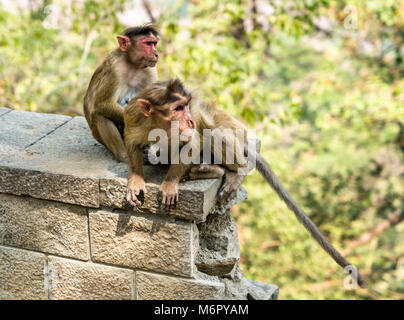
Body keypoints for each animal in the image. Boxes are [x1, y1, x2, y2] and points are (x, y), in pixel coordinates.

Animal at [83, 23, 159, 161]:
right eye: (148, 43)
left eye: (154, 43)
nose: (156, 54)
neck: (133, 65)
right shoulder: (115, 69)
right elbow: (102, 104)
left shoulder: (151, 71)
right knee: (99, 113)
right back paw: (123, 155)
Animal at [124, 77, 368, 288]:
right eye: (177, 109)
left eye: (186, 107)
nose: (190, 119)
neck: (158, 123)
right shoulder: (133, 115)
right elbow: (132, 143)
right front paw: (135, 181)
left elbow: (192, 141)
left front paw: (170, 183)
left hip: (235, 132)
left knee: (213, 131)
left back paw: (229, 171)